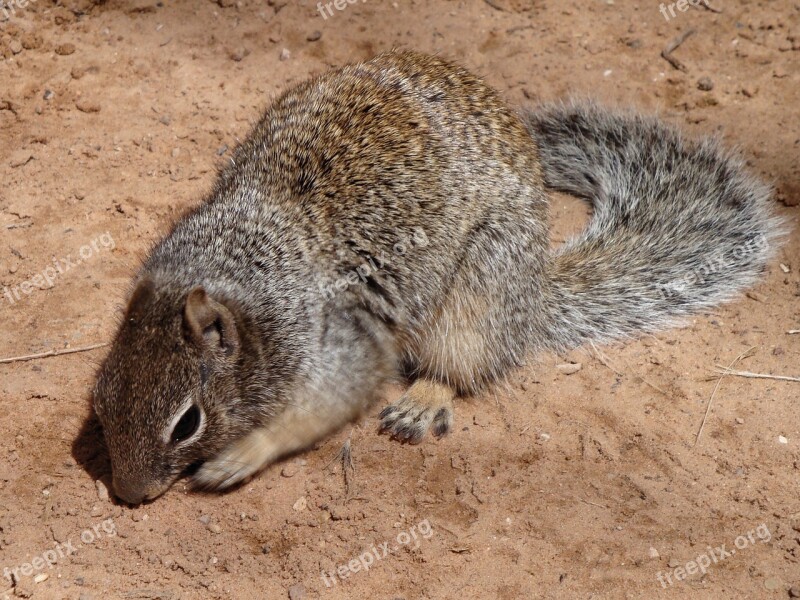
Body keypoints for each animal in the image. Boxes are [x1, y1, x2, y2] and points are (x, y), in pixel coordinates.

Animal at [90, 51, 784, 504]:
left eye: (188, 422)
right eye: (98, 399)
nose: (128, 495)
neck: (238, 268)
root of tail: (531, 296)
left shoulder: (337, 337)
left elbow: (326, 403)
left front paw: (242, 455)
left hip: (478, 292)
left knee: (463, 364)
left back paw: (424, 398)